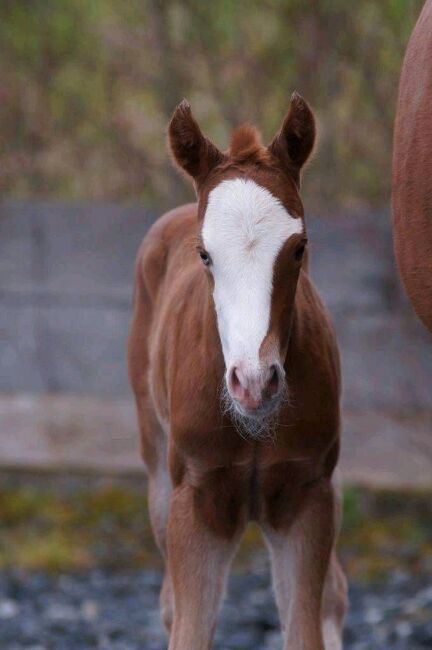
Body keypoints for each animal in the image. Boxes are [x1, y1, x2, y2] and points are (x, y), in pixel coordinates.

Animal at [128, 92, 348, 648]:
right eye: (204, 254)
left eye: (299, 248)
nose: (253, 383)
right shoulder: (196, 500)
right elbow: (188, 627)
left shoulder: (307, 494)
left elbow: (305, 627)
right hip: (157, 471)